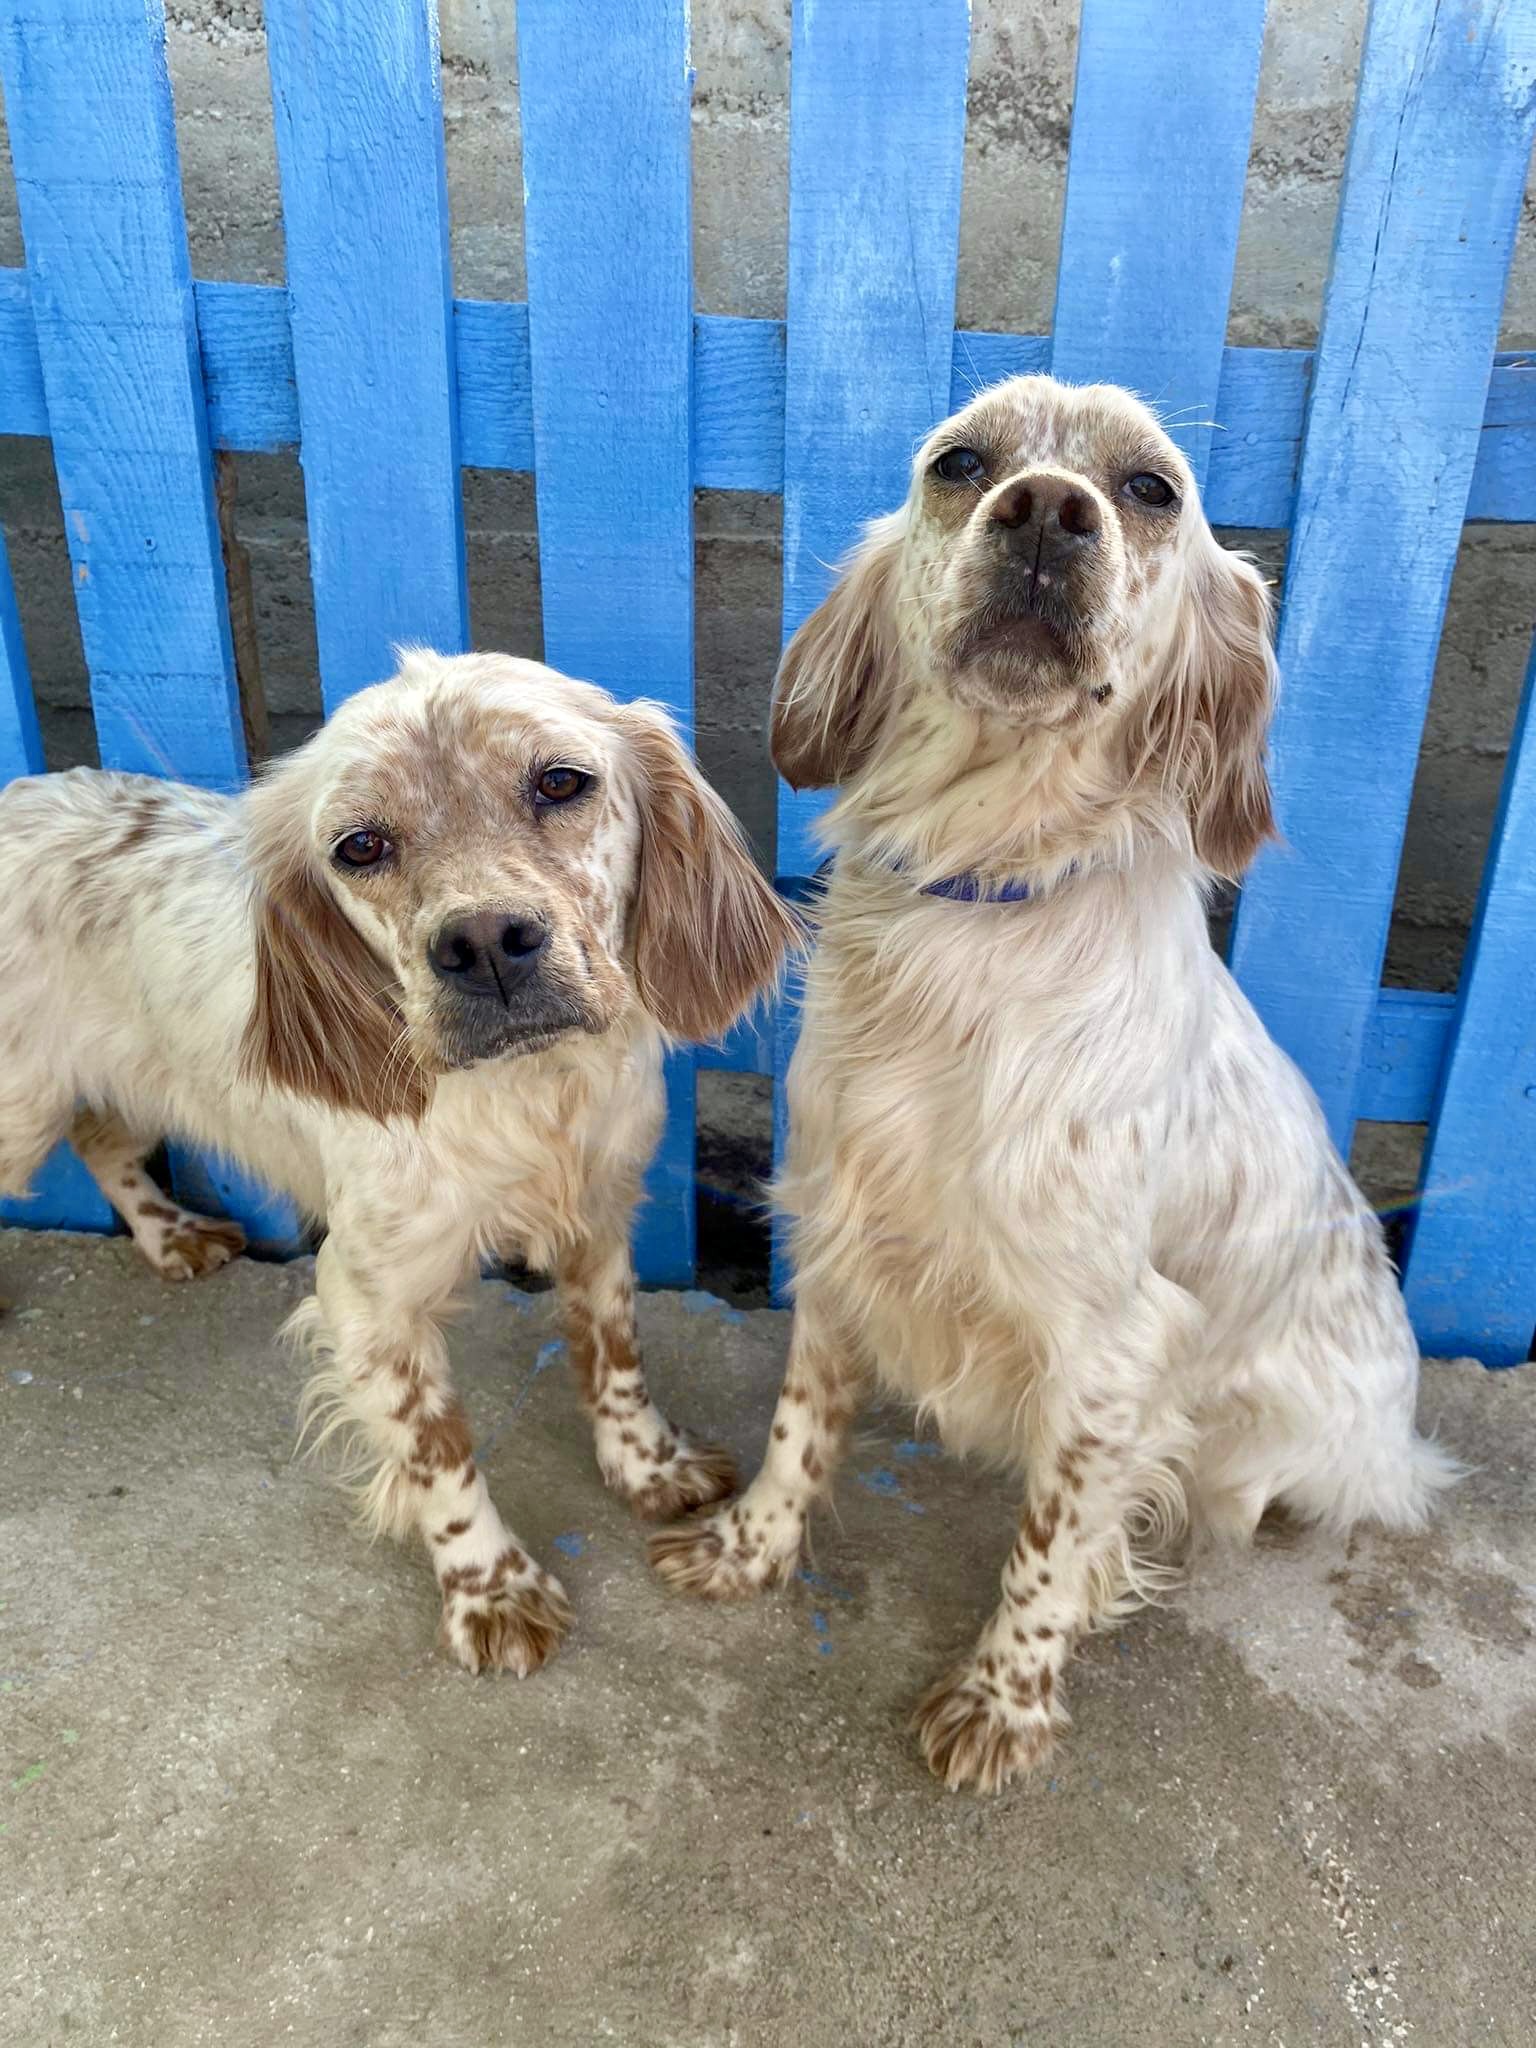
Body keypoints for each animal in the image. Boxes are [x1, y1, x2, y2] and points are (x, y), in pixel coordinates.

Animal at [6, 651, 806, 1679]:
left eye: (561, 783)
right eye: (360, 846)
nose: (484, 943)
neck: (528, 1095)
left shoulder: (599, 1213)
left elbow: (616, 1355)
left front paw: (646, 1463)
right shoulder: (366, 1299)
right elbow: (439, 1452)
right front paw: (491, 1590)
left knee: (104, 1142)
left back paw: (172, 1236)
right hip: (20, 1106)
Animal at [651, 380, 1466, 1794]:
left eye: (1150, 489)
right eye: (960, 463)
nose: (1043, 510)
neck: (984, 903)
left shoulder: (1114, 1339)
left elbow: (1053, 1533)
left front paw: (1007, 1694)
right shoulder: (838, 1232)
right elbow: (800, 1431)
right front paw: (753, 1547)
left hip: (1270, 1438)